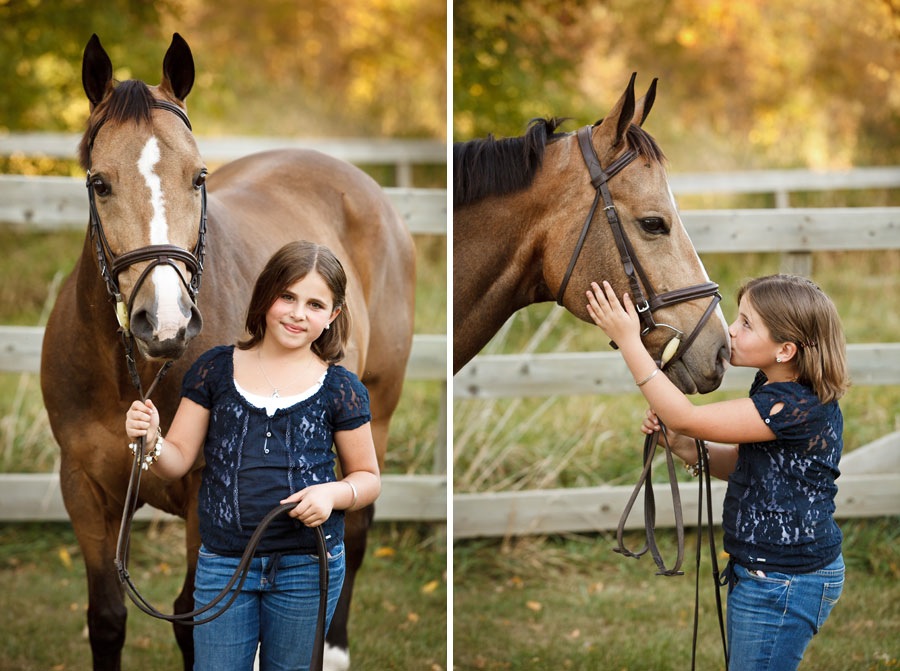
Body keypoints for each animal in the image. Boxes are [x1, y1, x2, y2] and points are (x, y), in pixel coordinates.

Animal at [37, 35, 412, 671]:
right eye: (99, 182)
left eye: (197, 177)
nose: (164, 321)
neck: (129, 374)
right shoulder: (83, 486)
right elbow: (107, 618)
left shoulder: (203, 495)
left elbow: (194, 621)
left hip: (378, 414)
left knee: (355, 527)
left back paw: (333, 647)